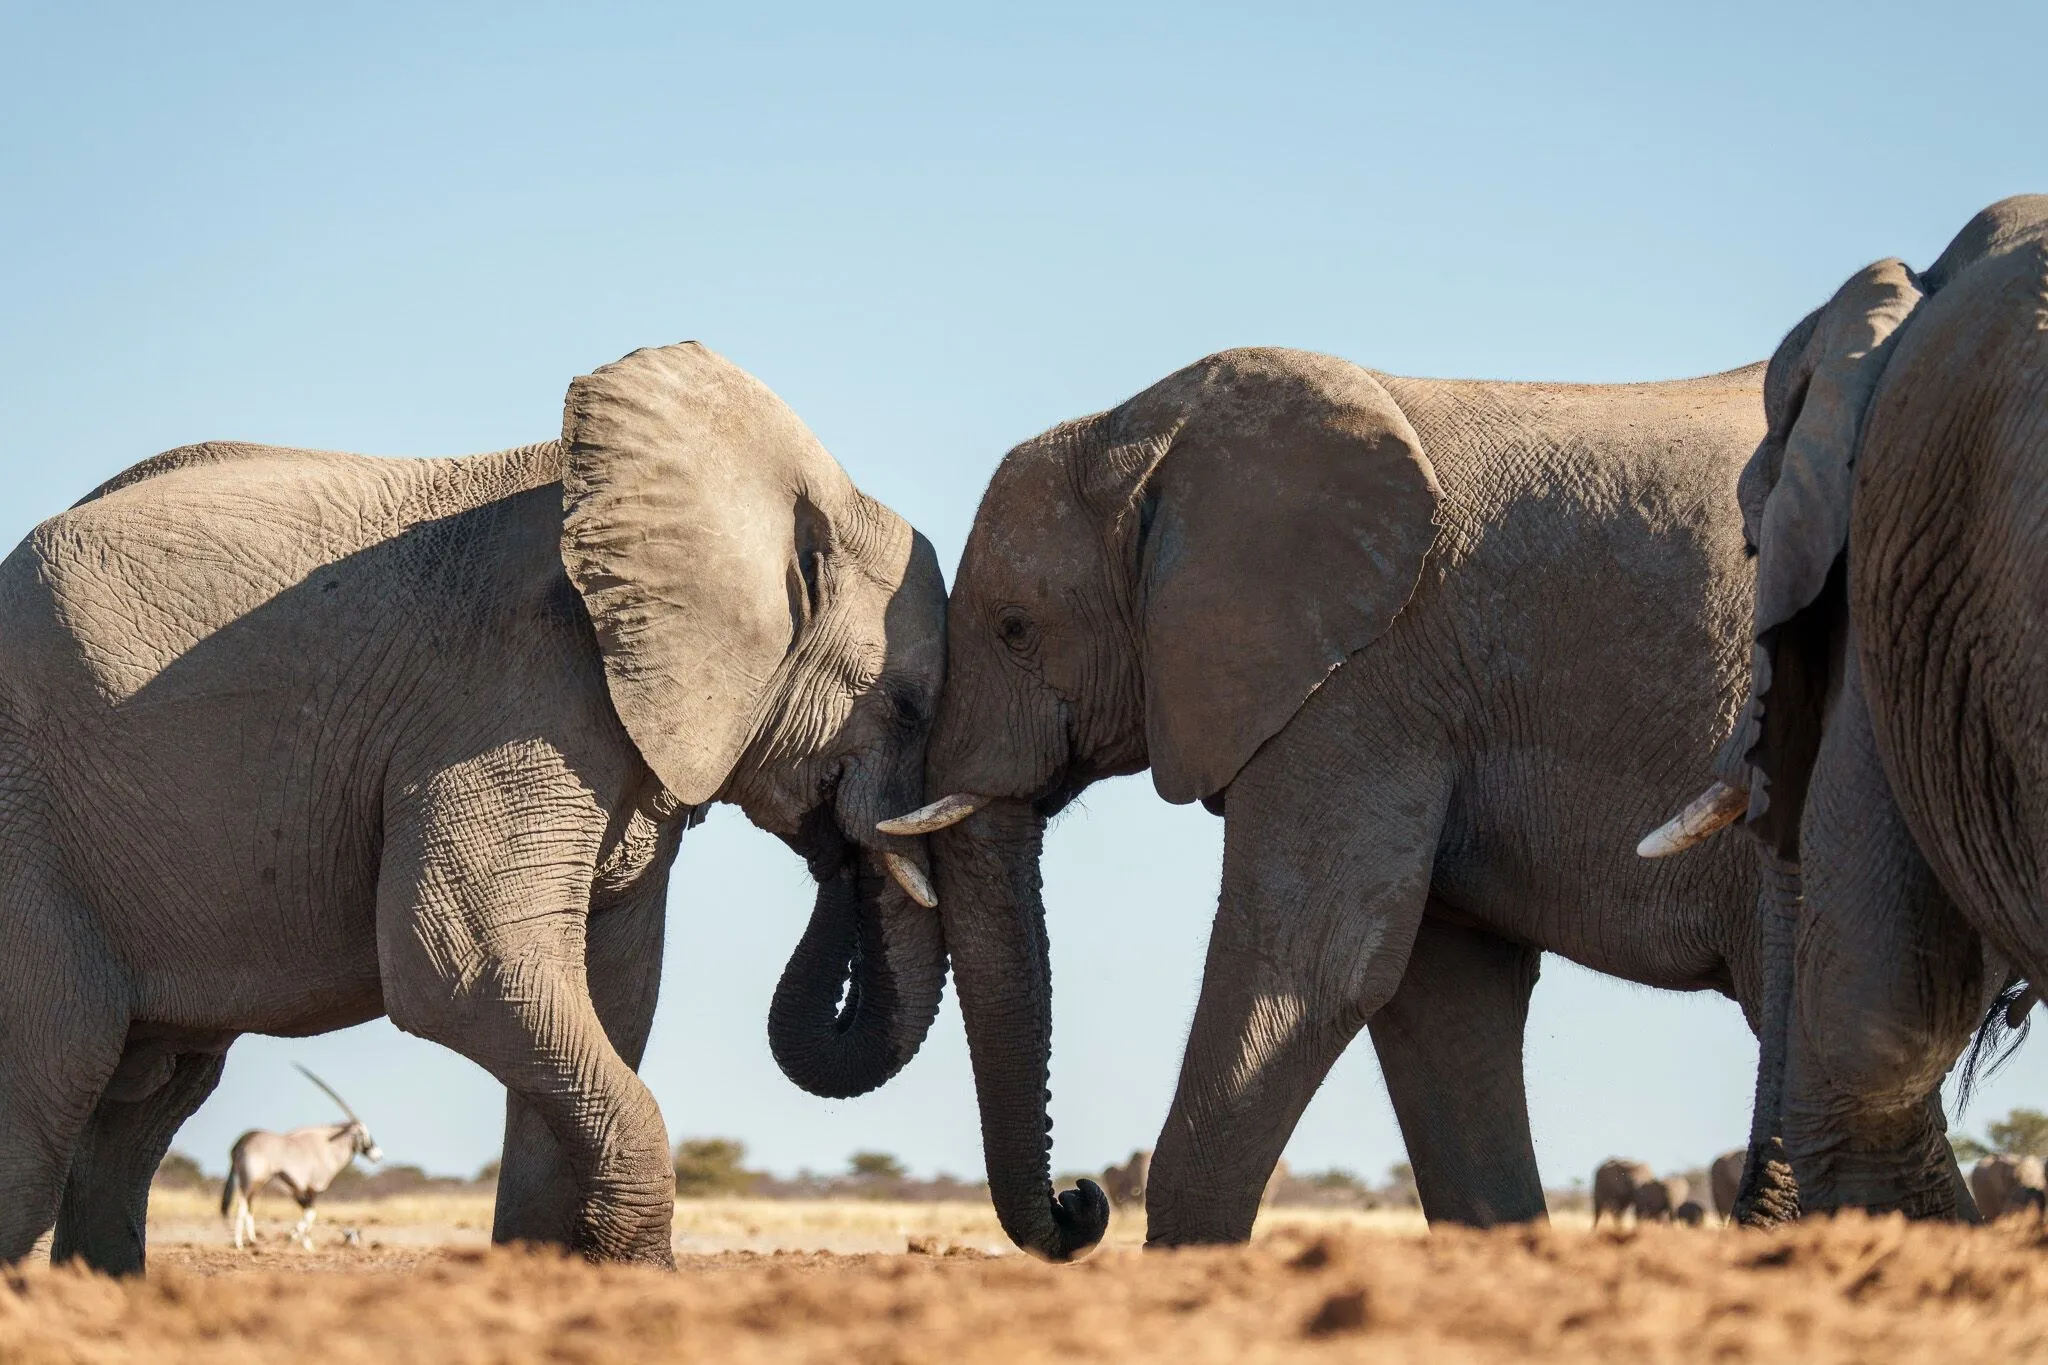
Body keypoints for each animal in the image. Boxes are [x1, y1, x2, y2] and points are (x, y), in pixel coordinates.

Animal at [0, 341, 948, 1274]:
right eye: (907, 708)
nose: (839, 842)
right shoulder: (510, 698)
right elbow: (468, 967)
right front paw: (633, 1271)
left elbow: (607, 996)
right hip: (29, 827)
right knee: (55, 1076)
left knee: (146, 1099)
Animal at [886, 344, 1786, 1258]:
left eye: (1015, 628)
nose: (1081, 1199)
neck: (1143, 433)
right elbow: (1443, 1002)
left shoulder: (1358, 684)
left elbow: (1312, 967)